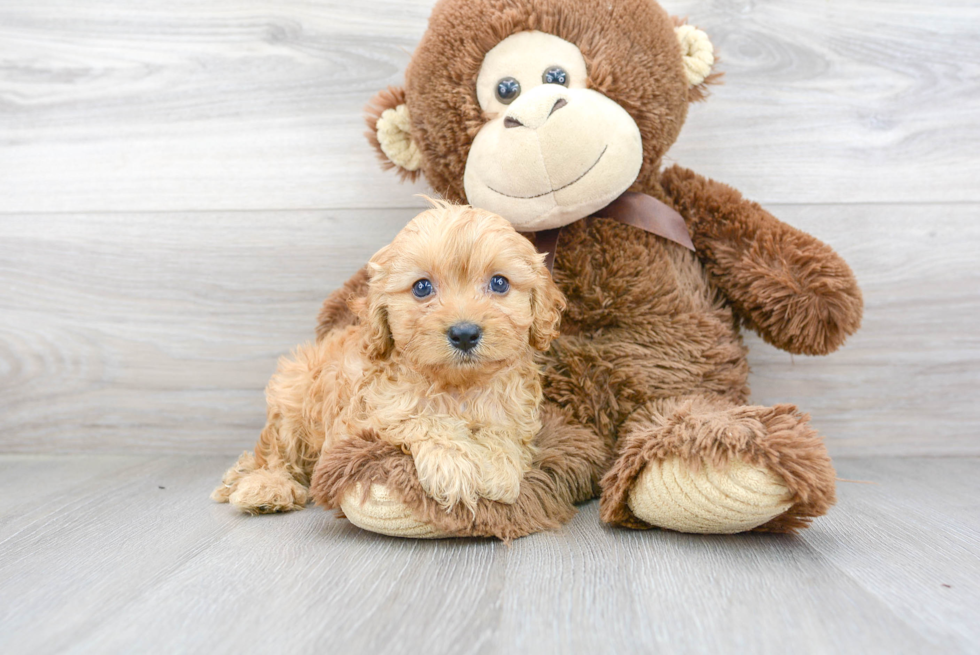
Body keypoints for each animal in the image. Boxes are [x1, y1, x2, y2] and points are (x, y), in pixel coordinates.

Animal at [214, 202, 568, 516]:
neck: (458, 387)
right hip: (294, 397)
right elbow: (415, 419)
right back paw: (266, 487)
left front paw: (497, 468)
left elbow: (504, 432)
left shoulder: (515, 412)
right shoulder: (363, 420)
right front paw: (453, 465)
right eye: (422, 287)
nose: (465, 333)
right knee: (275, 453)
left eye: (499, 283)